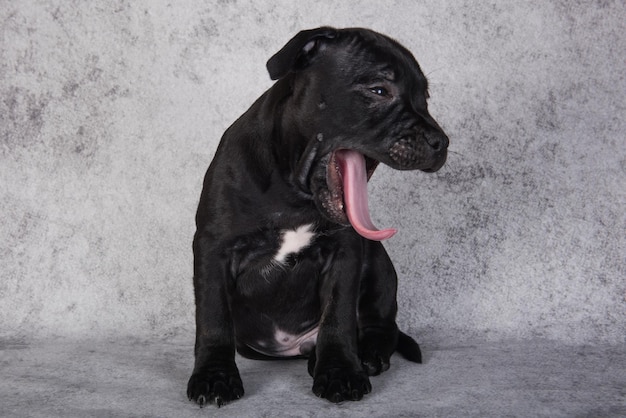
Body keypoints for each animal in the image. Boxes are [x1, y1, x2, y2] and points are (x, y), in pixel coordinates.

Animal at [183, 26, 446, 404]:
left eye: (425, 97)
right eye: (380, 90)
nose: (442, 142)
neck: (292, 188)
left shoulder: (346, 251)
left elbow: (338, 315)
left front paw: (340, 371)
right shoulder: (213, 248)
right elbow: (212, 316)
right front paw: (214, 376)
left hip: (379, 261)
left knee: (383, 326)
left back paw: (366, 354)